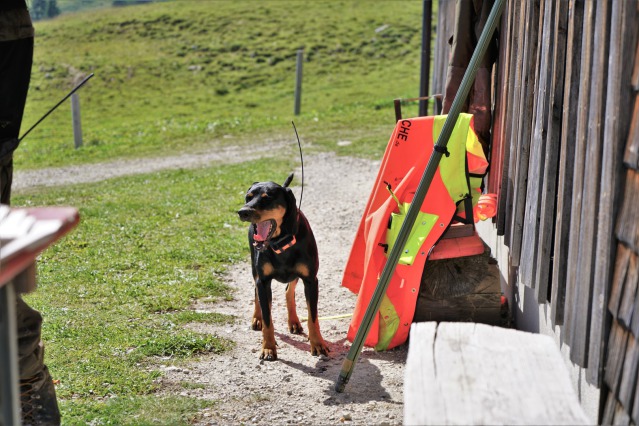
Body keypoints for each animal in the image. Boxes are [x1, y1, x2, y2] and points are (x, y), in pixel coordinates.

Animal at [237, 173, 330, 361]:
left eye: (266, 198)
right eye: (248, 197)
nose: (243, 212)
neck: (280, 242)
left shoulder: (311, 280)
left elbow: (313, 317)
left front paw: (317, 344)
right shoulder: (264, 281)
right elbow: (267, 319)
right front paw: (268, 347)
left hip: (296, 275)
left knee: (289, 291)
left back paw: (293, 321)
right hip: (255, 270)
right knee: (257, 292)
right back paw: (257, 318)